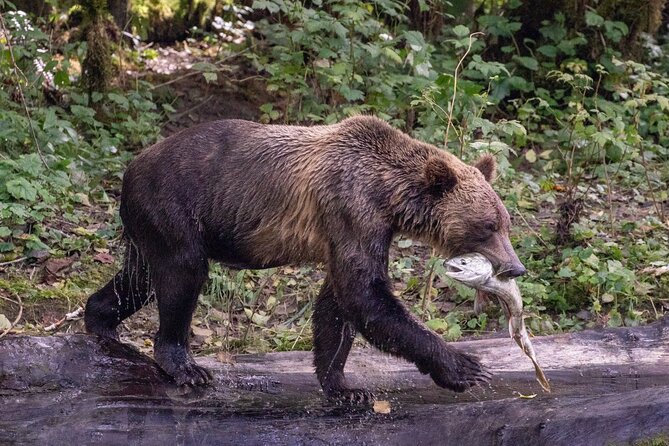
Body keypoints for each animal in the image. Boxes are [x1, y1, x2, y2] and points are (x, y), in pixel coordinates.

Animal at [84, 115, 526, 404]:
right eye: (488, 226)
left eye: (505, 223)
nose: (515, 267)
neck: (388, 195)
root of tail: (130, 167)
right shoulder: (350, 208)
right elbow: (366, 296)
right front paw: (466, 367)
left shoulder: (353, 230)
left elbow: (339, 304)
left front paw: (344, 386)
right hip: (174, 207)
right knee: (182, 273)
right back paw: (185, 366)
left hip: (151, 225)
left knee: (139, 278)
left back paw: (101, 323)